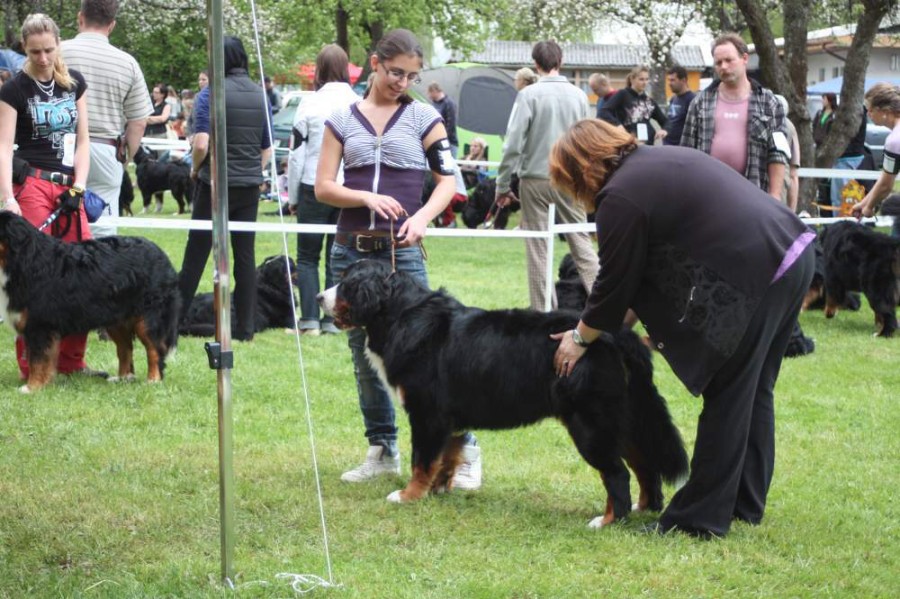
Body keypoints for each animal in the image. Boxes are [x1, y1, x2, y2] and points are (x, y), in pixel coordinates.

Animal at [0, 212, 181, 394]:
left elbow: (37, 360)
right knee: (125, 348)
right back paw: (122, 378)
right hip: (117, 319)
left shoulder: (40, 325)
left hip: (148, 318)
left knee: (154, 349)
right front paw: (43, 384)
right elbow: (42, 359)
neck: (22, 260)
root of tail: (160, 253)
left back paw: (153, 380)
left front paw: (32, 387)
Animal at [318, 260, 688, 528]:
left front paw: (409, 495)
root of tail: (617, 336)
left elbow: (421, 460)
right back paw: (643, 507)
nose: (321, 297)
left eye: (346, 283)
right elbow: (447, 456)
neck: (400, 315)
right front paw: (438, 489)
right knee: (644, 464)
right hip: (624, 417)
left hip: (590, 423)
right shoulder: (448, 418)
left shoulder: (427, 413)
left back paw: (608, 520)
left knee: (617, 472)